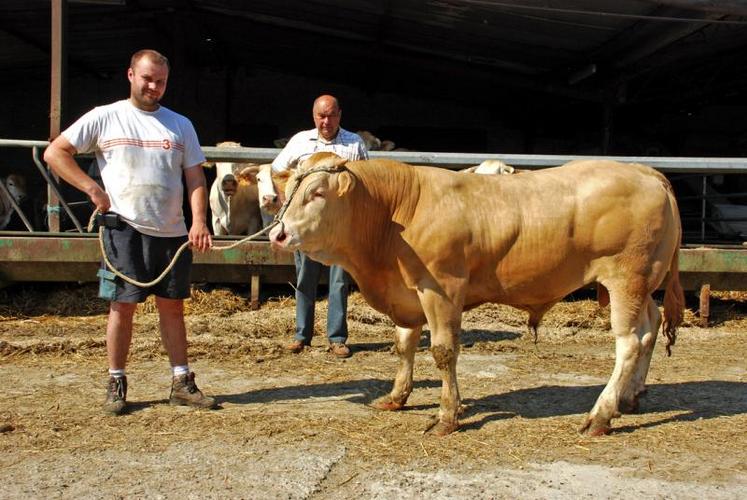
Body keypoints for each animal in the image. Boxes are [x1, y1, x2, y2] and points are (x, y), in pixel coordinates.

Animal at [268, 151, 684, 434]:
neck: (395, 214)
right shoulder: (408, 291)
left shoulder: (442, 288)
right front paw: (397, 397)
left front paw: (447, 416)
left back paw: (600, 414)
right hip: (643, 284)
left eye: (317, 193)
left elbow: (443, 351)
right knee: (650, 329)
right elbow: (404, 345)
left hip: (626, 278)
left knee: (629, 343)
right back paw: (630, 398)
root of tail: (644, 170)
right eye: (289, 190)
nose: (278, 234)